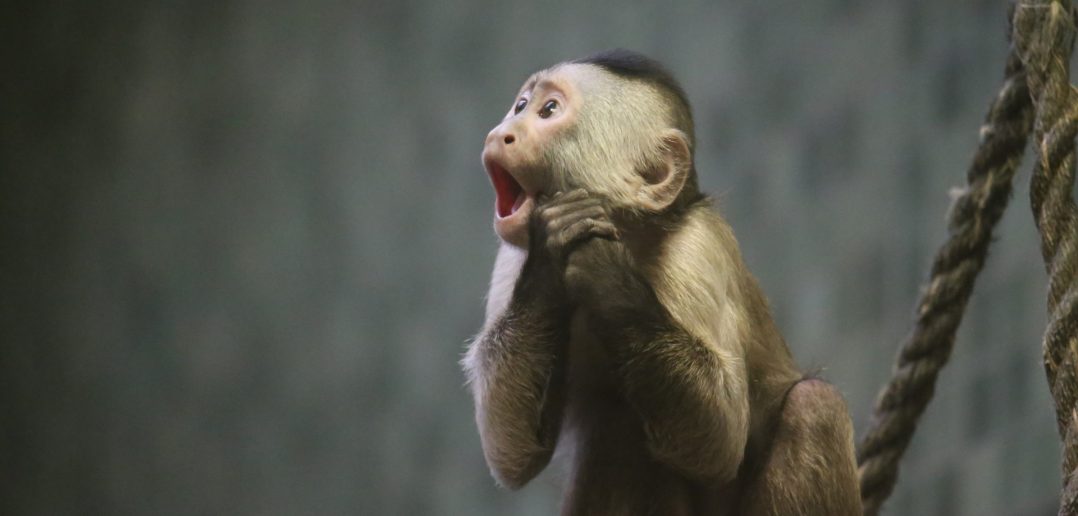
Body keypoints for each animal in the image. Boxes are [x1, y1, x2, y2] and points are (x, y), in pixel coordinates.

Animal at [462, 49, 861, 516]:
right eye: (520, 106)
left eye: (549, 111)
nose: (502, 132)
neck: (632, 232)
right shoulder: (511, 261)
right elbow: (513, 453)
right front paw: (550, 253)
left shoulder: (699, 243)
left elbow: (719, 439)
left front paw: (605, 272)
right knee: (617, 428)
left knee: (815, 405)